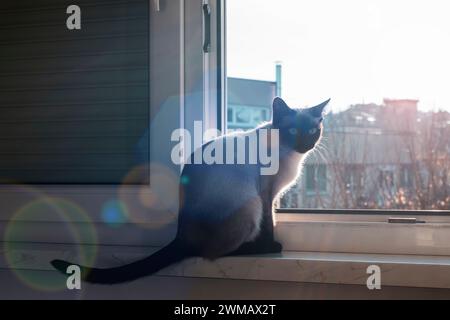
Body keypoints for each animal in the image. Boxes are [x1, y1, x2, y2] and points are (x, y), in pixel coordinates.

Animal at [51, 96, 328, 284]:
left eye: (313, 131)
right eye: (293, 131)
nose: (305, 145)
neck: (289, 154)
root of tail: (181, 235)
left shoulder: (275, 196)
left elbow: (274, 219)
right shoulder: (266, 194)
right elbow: (269, 223)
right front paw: (271, 242)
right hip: (251, 204)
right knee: (213, 253)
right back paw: (264, 248)